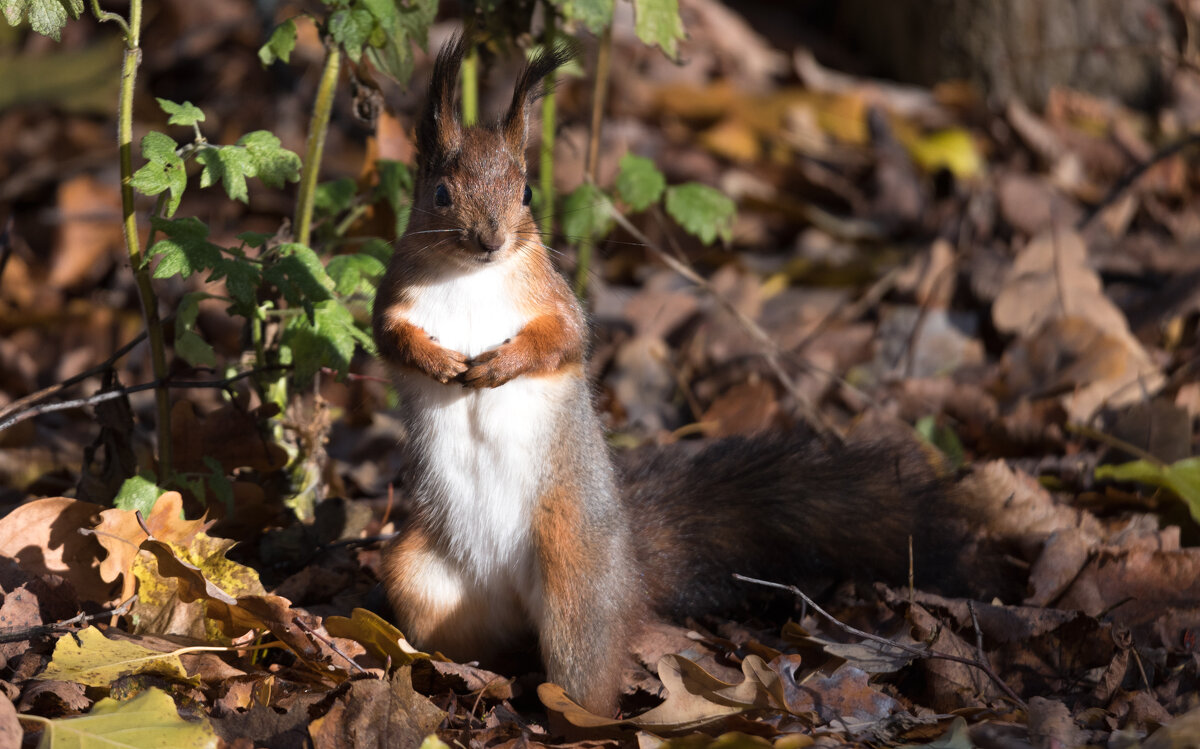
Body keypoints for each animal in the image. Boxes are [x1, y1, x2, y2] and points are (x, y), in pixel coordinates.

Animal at [374, 35, 984, 715]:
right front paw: (435, 359)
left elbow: (566, 340)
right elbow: (389, 337)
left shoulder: (556, 302)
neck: (471, 277)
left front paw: (500, 363)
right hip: (422, 579)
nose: (490, 240)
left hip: (577, 583)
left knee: (584, 665)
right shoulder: (392, 297)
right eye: (441, 194)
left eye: (528, 192)